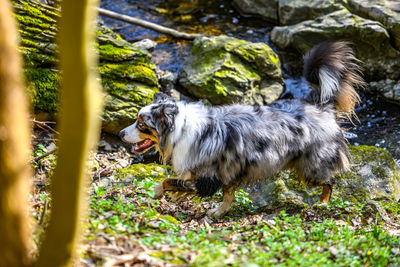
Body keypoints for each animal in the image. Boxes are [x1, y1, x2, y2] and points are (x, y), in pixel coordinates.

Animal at [117, 41, 364, 218]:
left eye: (141, 125)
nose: (120, 134)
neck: (180, 129)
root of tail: (318, 105)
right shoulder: (228, 172)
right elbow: (227, 196)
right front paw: (218, 212)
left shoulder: (208, 179)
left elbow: (168, 181)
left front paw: (157, 192)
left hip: (311, 167)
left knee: (330, 182)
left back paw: (322, 204)